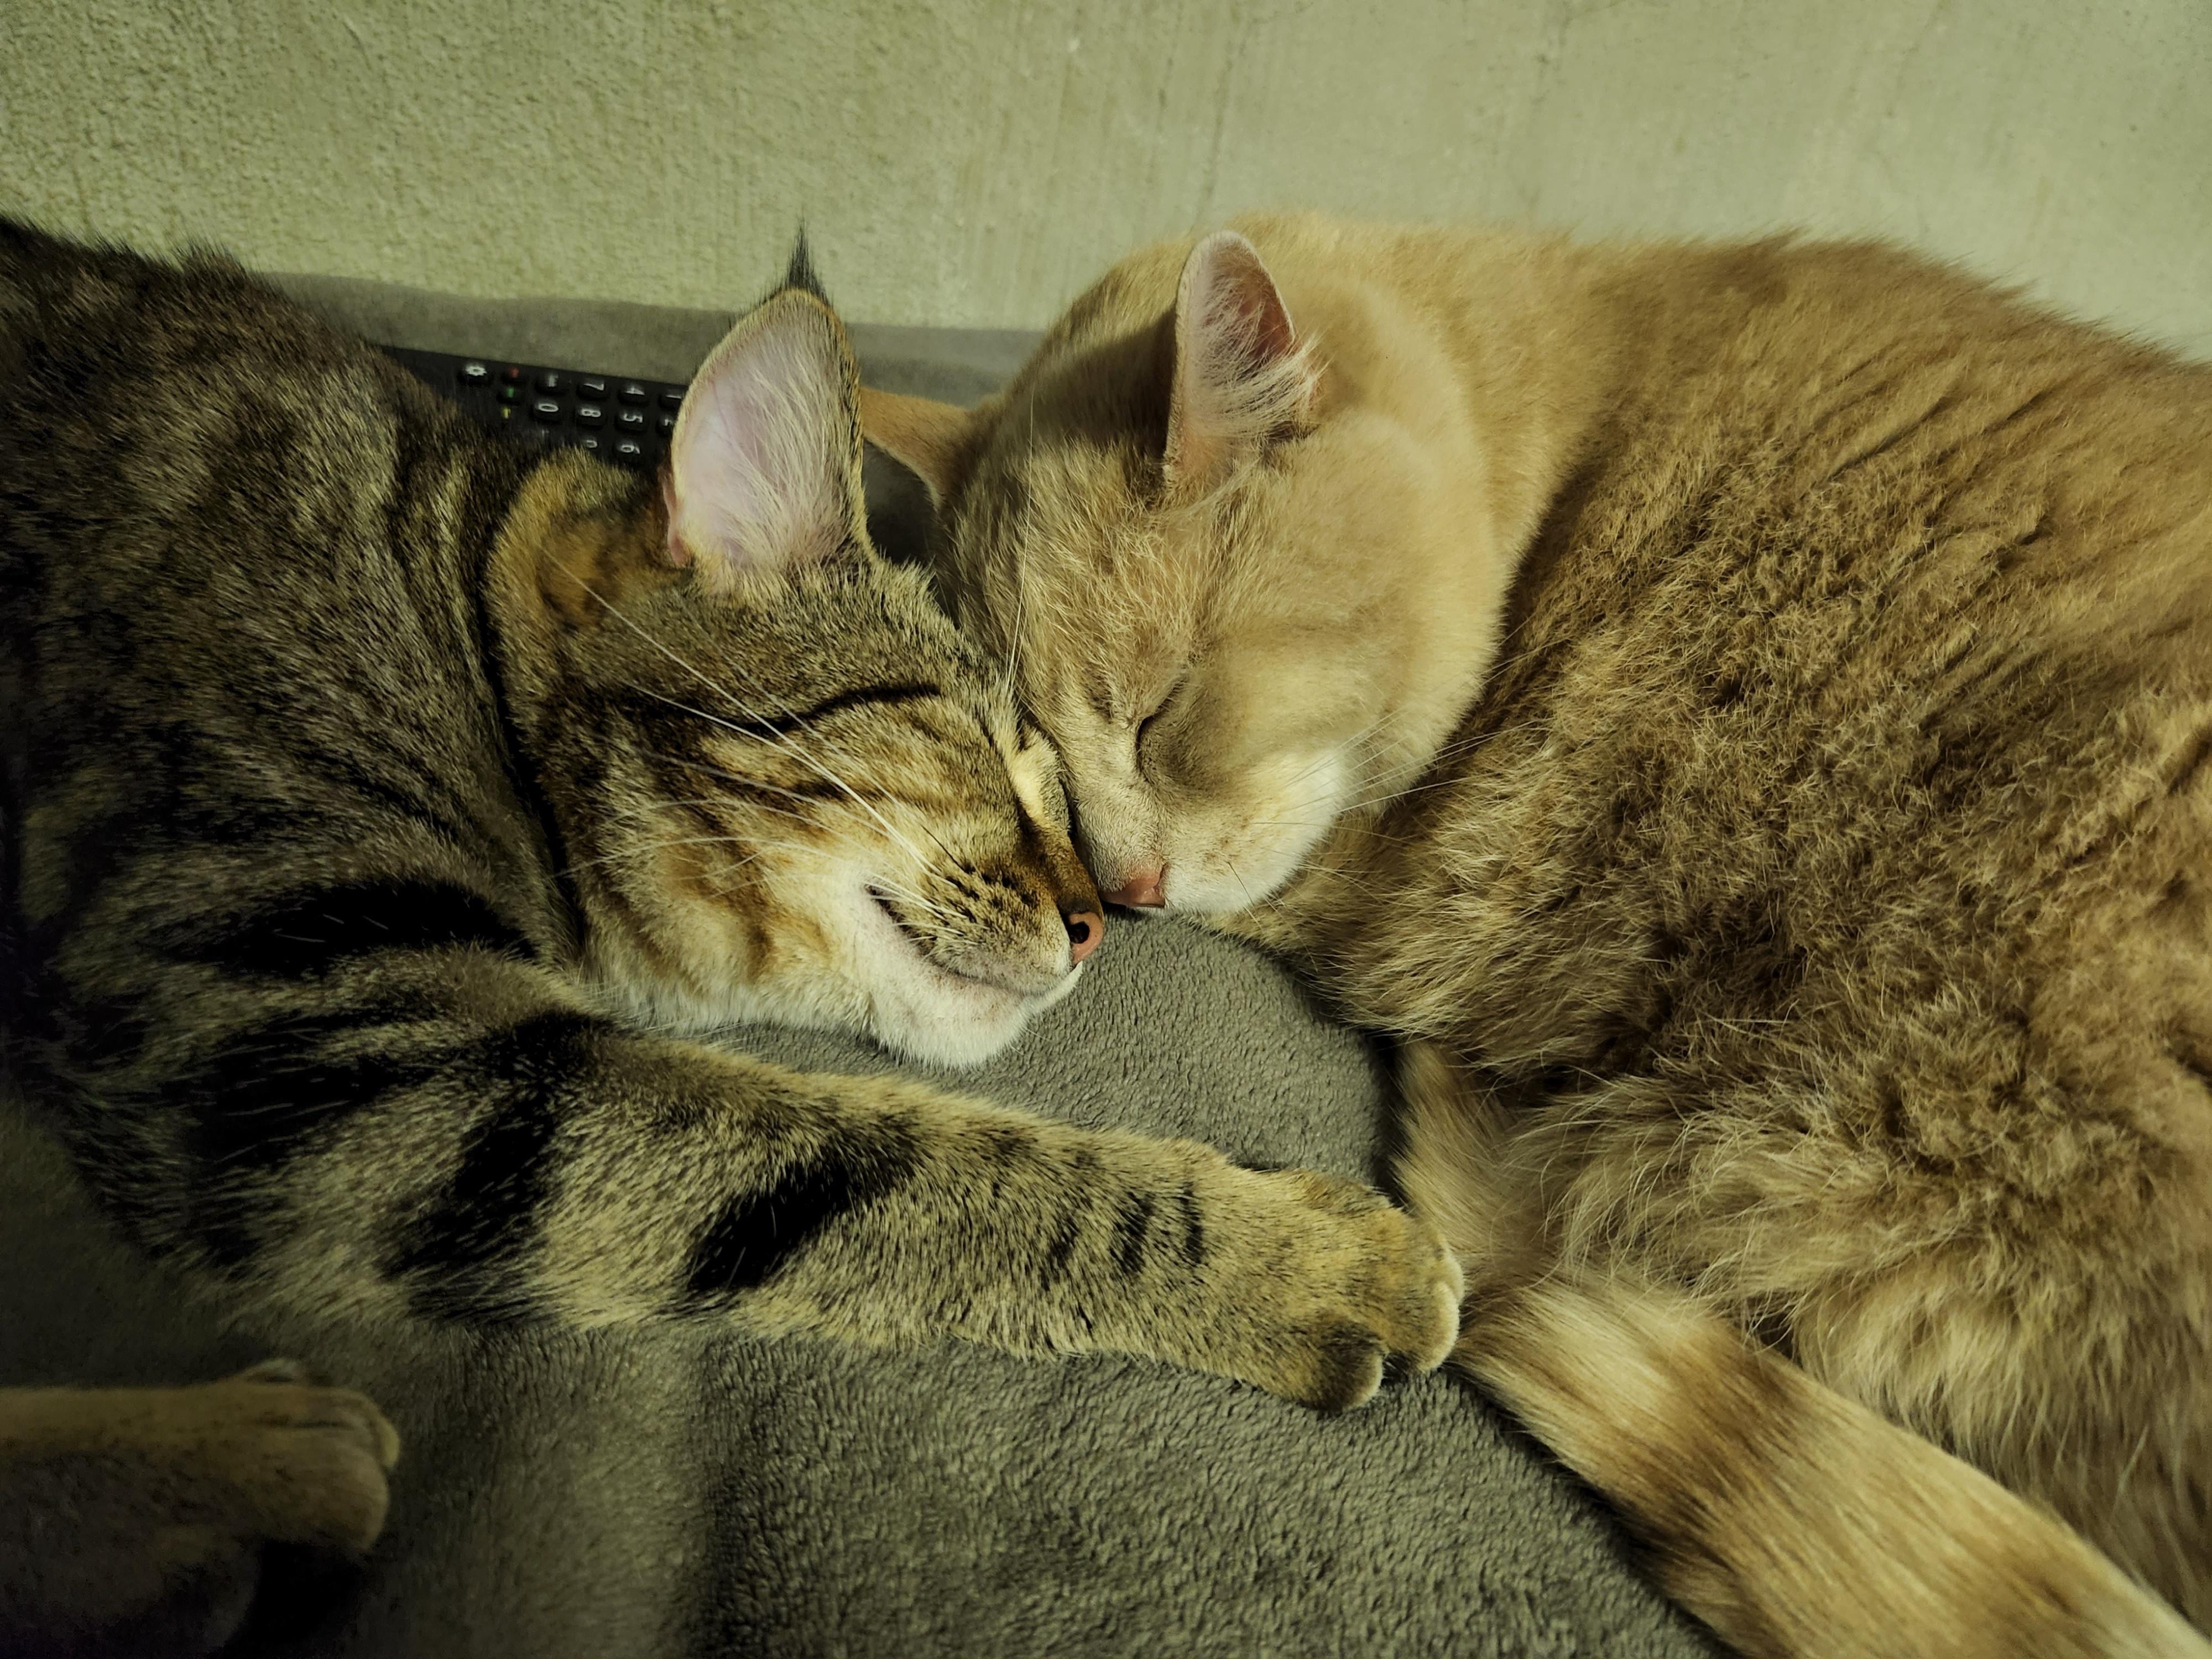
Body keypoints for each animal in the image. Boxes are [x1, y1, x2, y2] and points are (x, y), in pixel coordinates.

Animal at [0, 221, 1462, 1655]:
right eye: (982, 746)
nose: (1103, 918)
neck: (457, 634)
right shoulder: (312, 1047)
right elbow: (907, 1165)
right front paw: (1297, 1257)